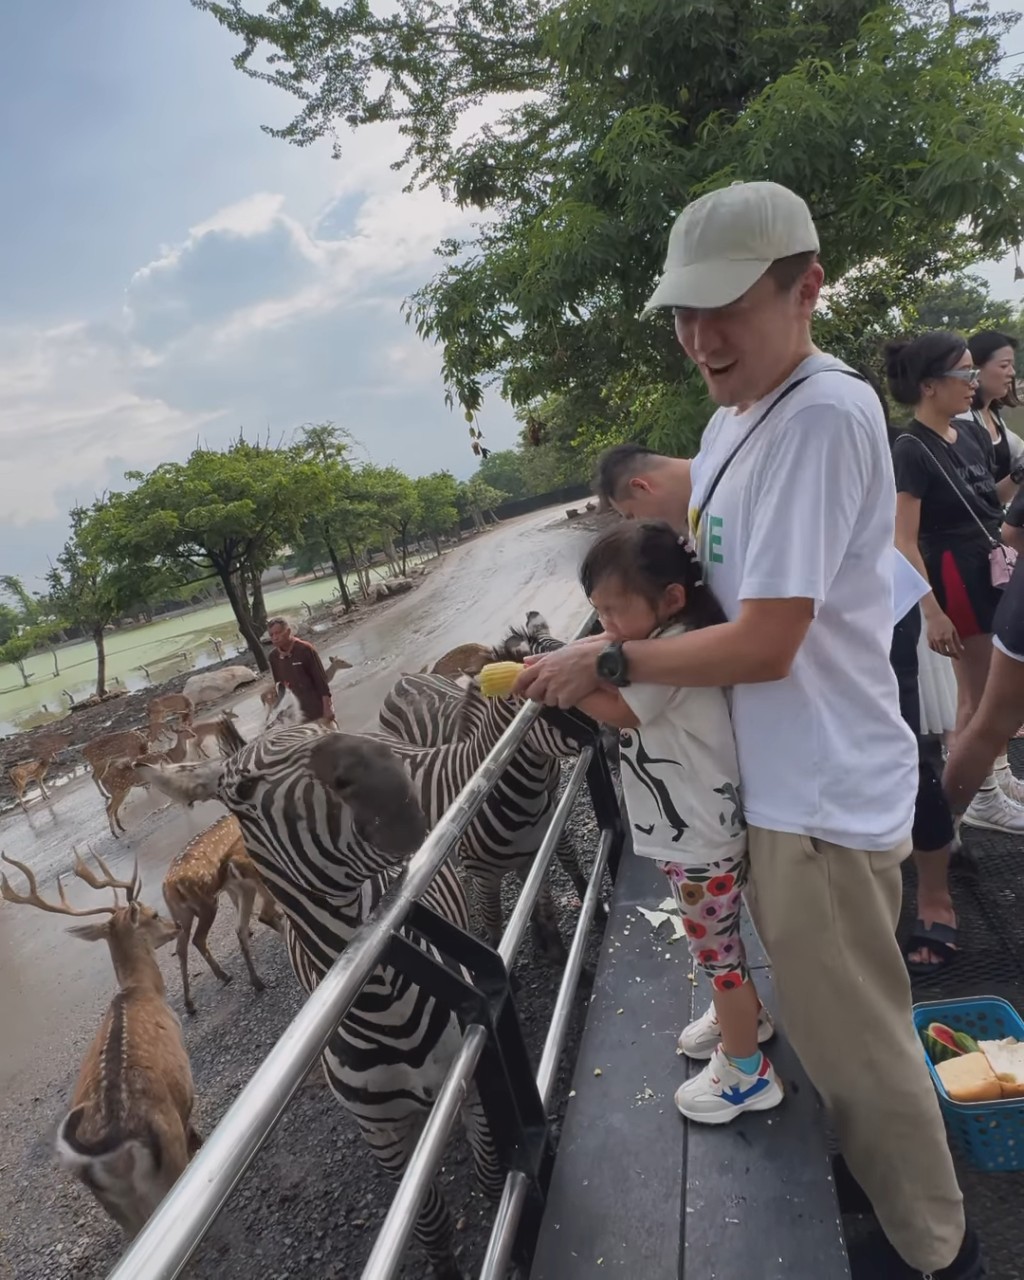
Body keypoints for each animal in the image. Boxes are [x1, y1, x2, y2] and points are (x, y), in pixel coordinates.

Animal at [0, 849, 202, 1239]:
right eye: (152, 915)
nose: (176, 925)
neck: (140, 991)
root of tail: (112, 1148)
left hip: (116, 1205)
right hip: (168, 1161)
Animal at [163, 814, 284, 1013]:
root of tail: (170, 885)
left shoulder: (231, 885)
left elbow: (236, 903)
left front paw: (250, 930)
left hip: (181, 915)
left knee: (181, 948)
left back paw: (190, 1004)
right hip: (207, 904)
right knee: (198, 939)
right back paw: (224, 975)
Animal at [378, 611, 604, 962]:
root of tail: (403, 679)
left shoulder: (536, 844)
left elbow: (546, 898)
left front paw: (552, 947)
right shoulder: (485, 878)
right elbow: (497, 929)